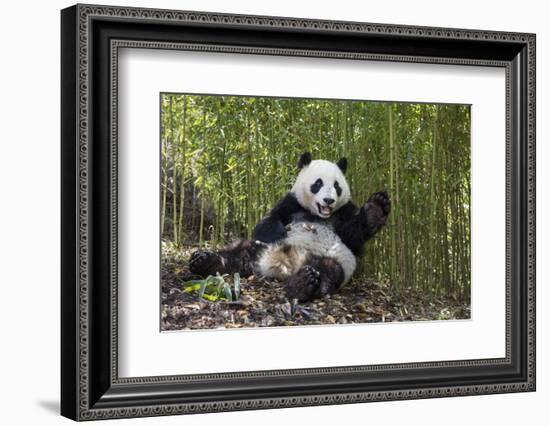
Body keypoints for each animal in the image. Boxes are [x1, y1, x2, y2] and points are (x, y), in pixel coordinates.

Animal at [190, 151, 392, 302]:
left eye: (336, 186)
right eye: (318, 183)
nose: (329, 200)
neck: (317, 214)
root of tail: (284, 267)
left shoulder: (344, 212)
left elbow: (353, 235)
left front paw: (376, 208)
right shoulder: (291, 203)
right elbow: (269, 220)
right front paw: (280, 232)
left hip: (337, 260)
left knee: (329, 270)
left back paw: (303, 284)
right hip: (259, 250)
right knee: (238, 253)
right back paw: (205, 261)